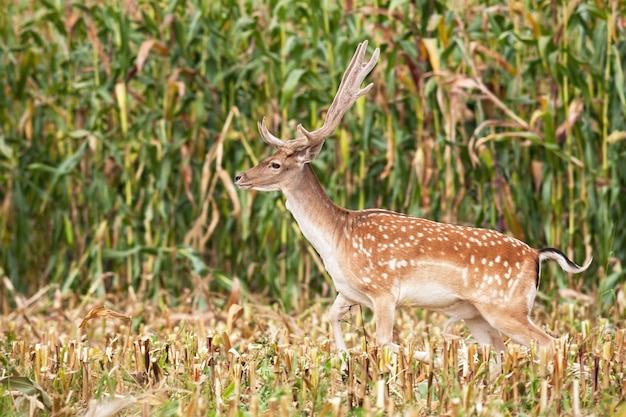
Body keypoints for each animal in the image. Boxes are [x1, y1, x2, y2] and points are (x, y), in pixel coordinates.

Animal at [233, 39, 588, 362]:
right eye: (267, 157)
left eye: (275, 164)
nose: (239, 177)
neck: (337, 239)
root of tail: (537, 255)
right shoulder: (347, 291)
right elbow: (331, 317)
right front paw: (344, 356)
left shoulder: (383, 289)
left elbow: (384, 342)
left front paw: (439, 358)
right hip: (479, 313)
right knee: (502, 352)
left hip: (506, 306)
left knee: (549, 343)